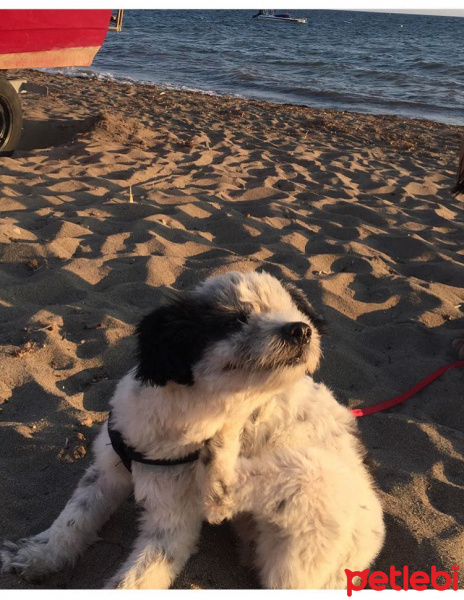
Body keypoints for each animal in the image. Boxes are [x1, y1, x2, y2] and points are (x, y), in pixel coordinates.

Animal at [0, 272, 384, 592]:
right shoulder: (107, 469)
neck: (184, 409)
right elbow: (73, 519)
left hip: (315, 479)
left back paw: (225, 444)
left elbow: (135, 580)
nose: (301, 329)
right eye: (235, 319)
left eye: (296, 313)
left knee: (223, 498)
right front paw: (38, 556)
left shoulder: (172, 523)